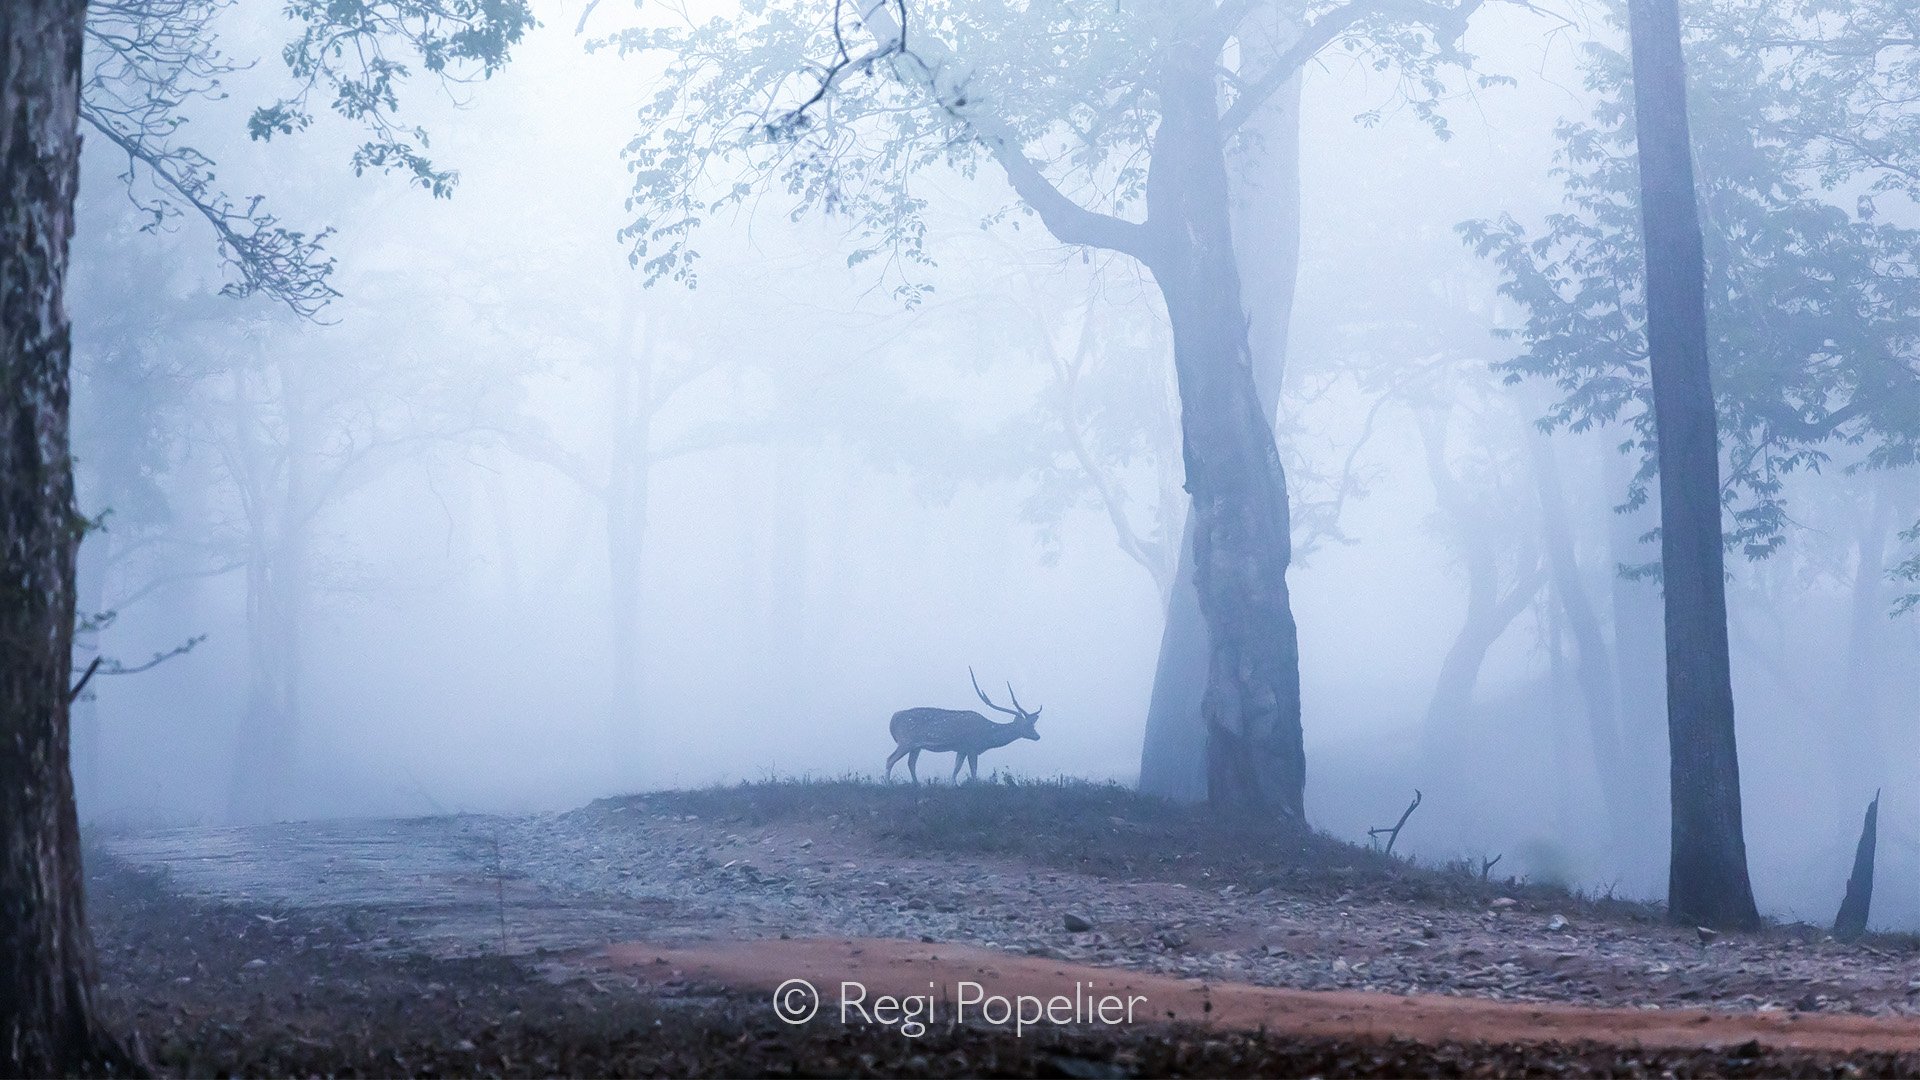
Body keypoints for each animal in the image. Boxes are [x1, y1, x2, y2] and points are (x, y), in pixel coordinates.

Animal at [885, 668, 1041, 784]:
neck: (987, 737)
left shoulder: (961, 749)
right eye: (1029, 725)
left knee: (911, 763)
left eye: (1034, 725)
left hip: (916, 746)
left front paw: (953, 784)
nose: (1037, 736)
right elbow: (973, 771)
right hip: (906, 741)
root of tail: (892, 720)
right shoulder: (972, 747)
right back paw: (888, 783)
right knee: (890, 759)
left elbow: (956, 769)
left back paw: (917, 784)